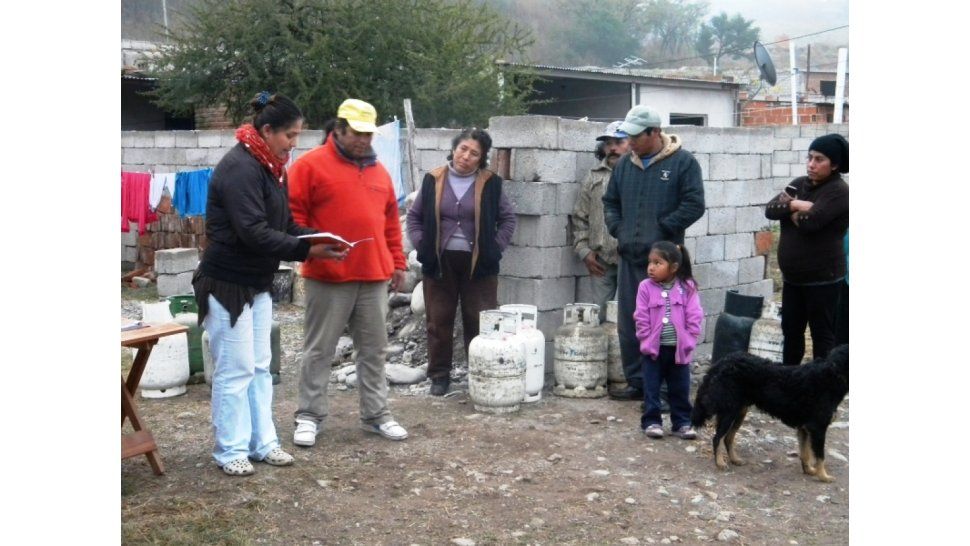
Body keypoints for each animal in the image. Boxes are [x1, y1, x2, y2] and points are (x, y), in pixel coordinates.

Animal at [688, 344, 848, 480]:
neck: (832, 374)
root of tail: (723, 361)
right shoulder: (818, 428)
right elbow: (820, 456)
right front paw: (824, 476)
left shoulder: (805, 428)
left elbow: (805, 453)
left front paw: (808, 470)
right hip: (729, 412)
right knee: (717, 438)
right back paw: (720, 463)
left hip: (740, 412)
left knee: (728, 438)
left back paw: (734, 459)